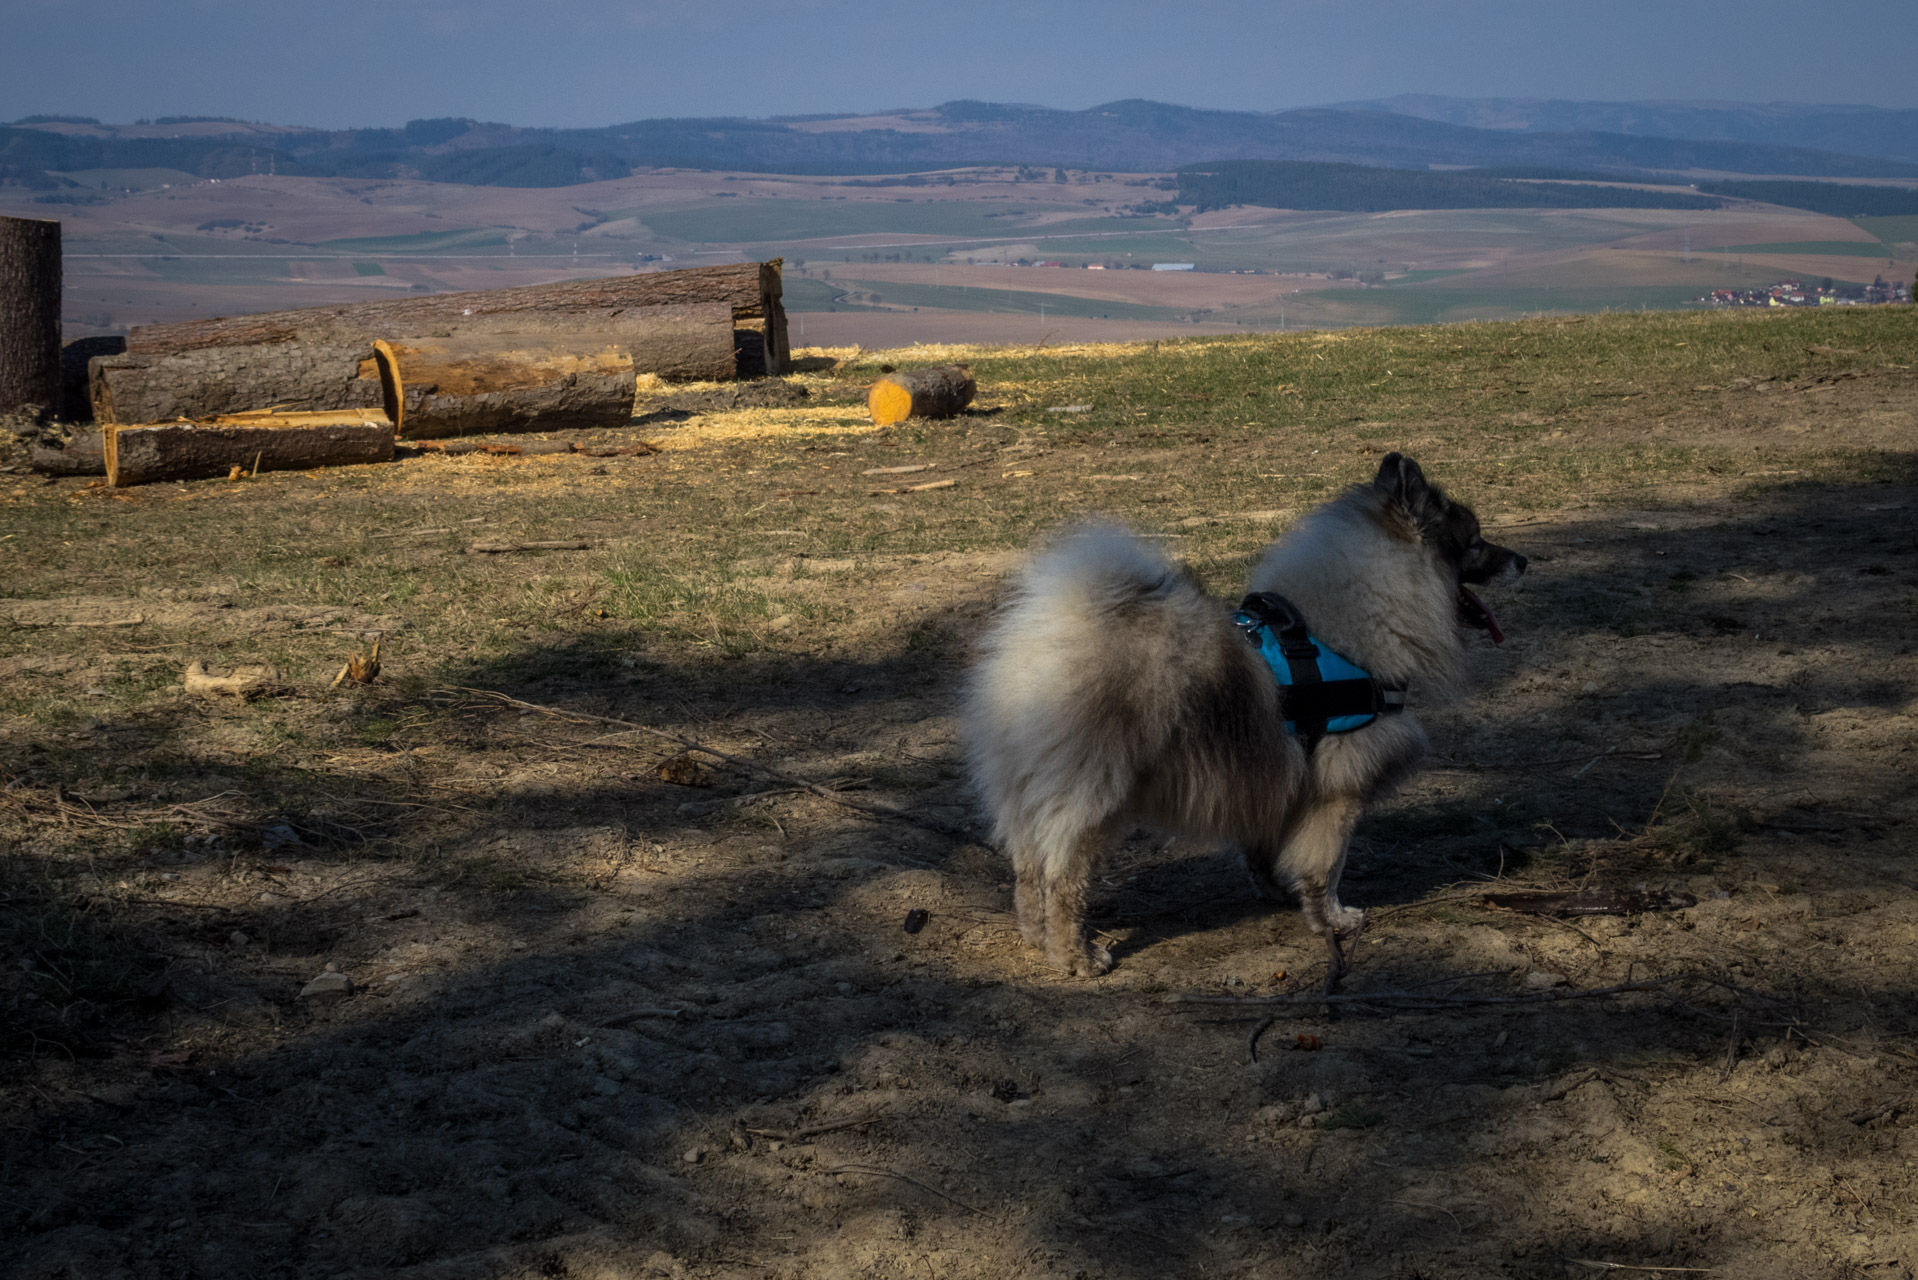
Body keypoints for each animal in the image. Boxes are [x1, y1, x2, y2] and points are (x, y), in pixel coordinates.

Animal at [966, 454, 1534, 990]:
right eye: (1474, 543)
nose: (1525, 560)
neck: (1358, 622)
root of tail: (1052, 634)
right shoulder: (1338, 790)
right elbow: (1327, 865)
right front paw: (1332, 920)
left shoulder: (1278, 779)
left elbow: (1268, 846)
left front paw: (1277, 891)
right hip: (1093, 794)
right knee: (1062, 878)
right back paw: (1075, 956)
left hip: (1027, 788)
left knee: (1028, 869)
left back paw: (1035, 936)